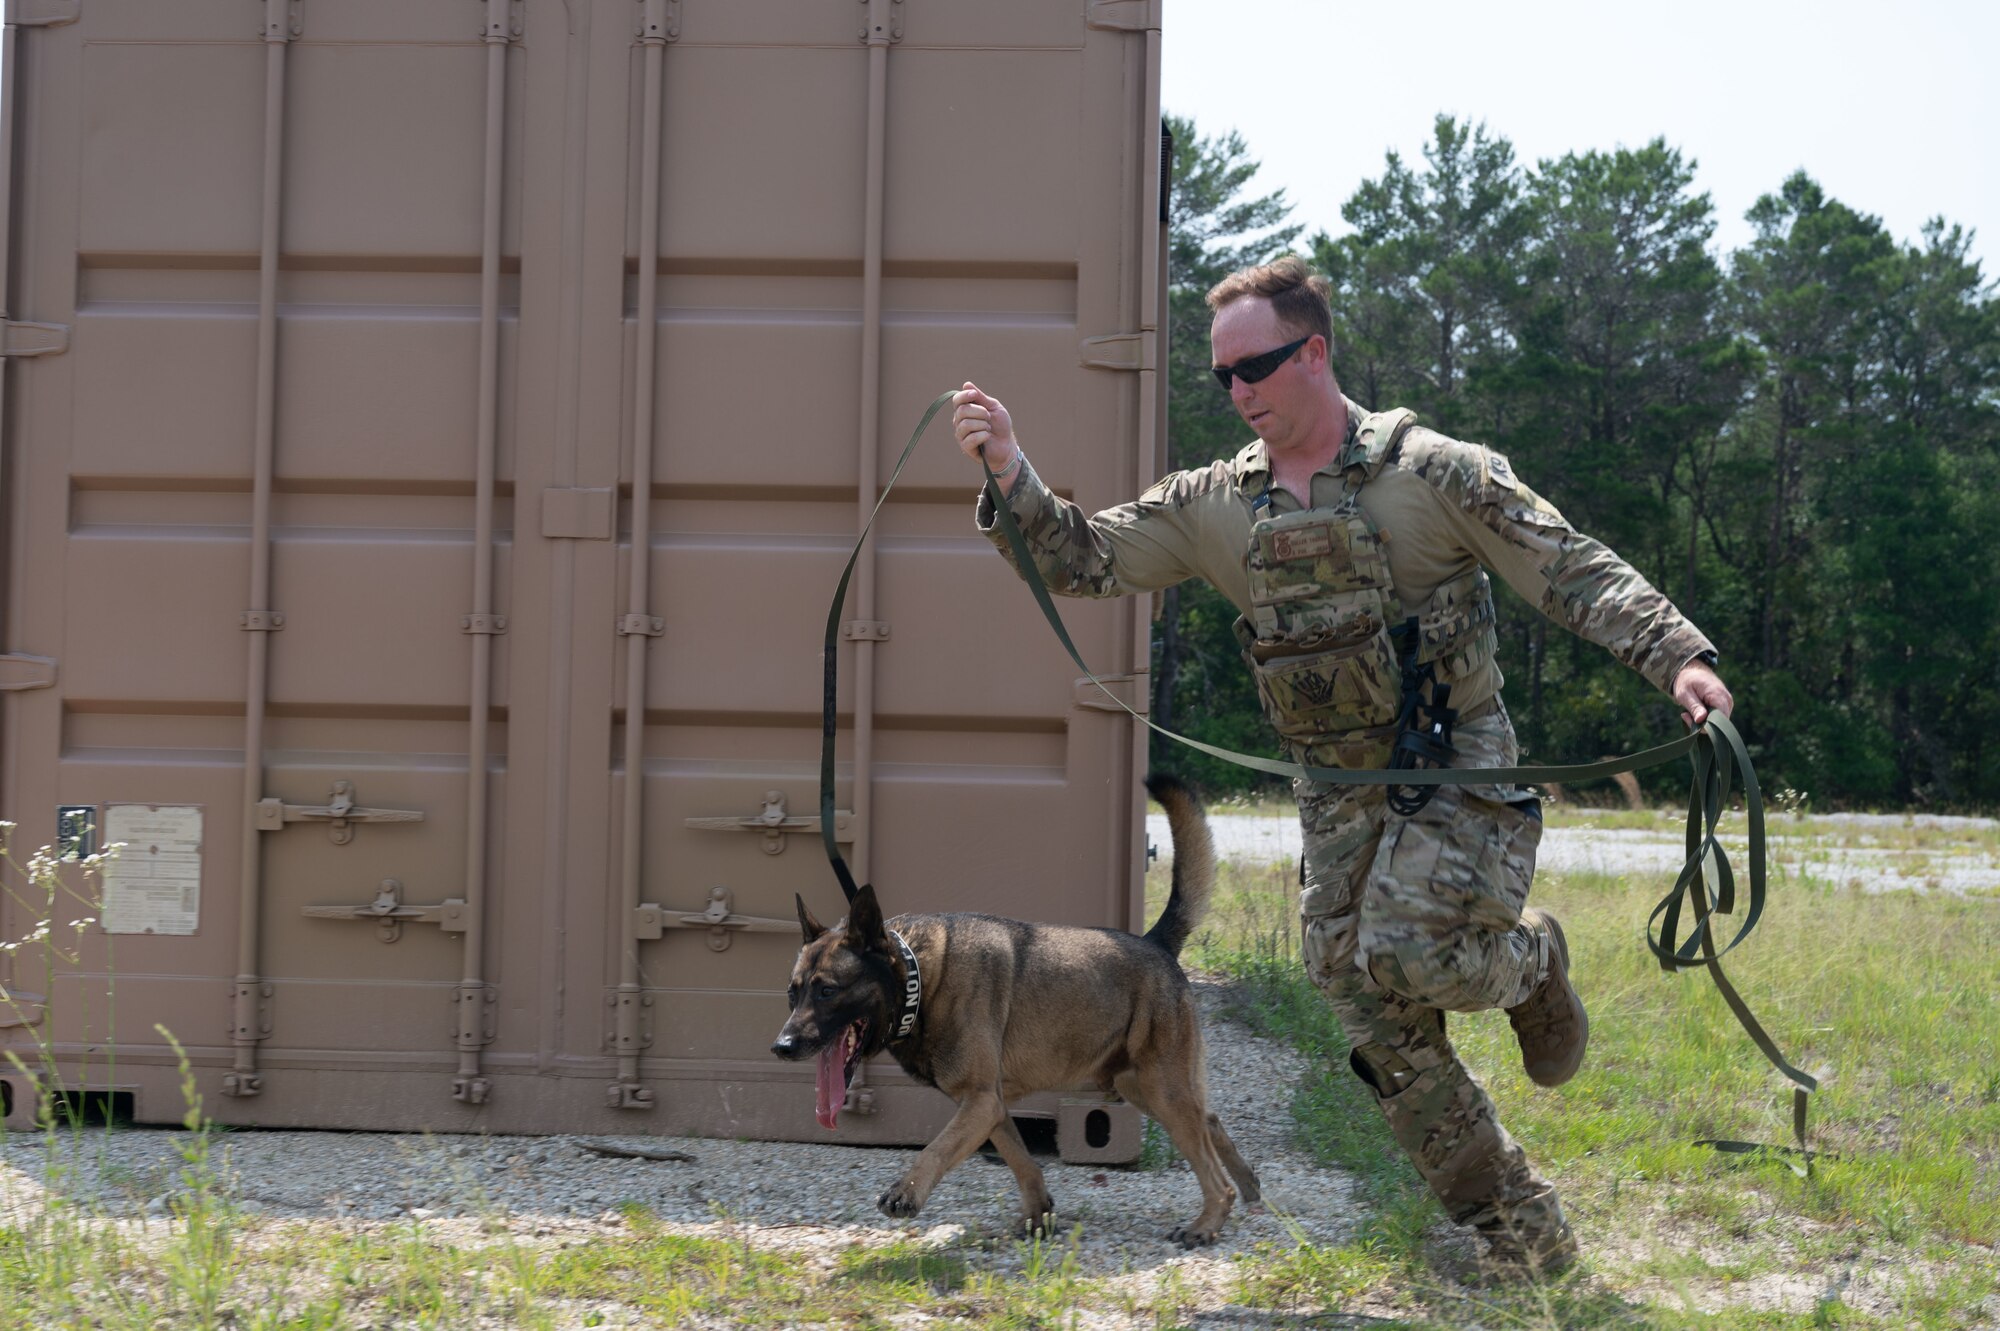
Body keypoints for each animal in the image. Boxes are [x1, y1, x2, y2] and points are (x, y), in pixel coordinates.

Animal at [768, 771, 1256, 1239]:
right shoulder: (992, 1106)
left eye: (827, 991)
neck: (920, 979)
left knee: (1212, 1169)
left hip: (1159, 1089)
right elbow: (1022, 1161)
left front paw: (906, 1191)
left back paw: (1207, 1223)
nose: (782, 1047)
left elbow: (937, 1147)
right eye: (793, 993)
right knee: (1210, 1122)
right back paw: (1249, 1188)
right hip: (1145, 1086)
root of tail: (1156, 942)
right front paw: (1039, 1215)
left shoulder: (980, 1103)